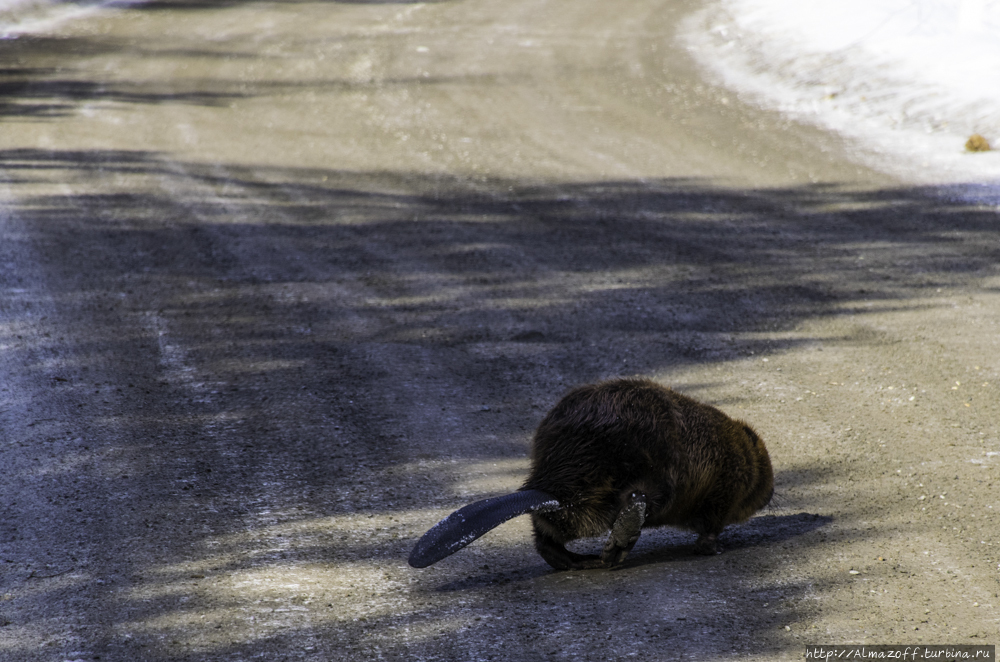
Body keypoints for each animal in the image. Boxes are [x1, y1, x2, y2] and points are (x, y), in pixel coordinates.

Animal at [406, 378, 772, 572]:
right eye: (766, 470)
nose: (769, 495)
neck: (735, 449)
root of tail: (548, 489)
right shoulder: (723, 488)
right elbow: (711, 526)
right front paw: (712, 548)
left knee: (546, 538)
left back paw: (579, 561)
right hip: (643, 473)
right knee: (637, 497)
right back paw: (613, 550)